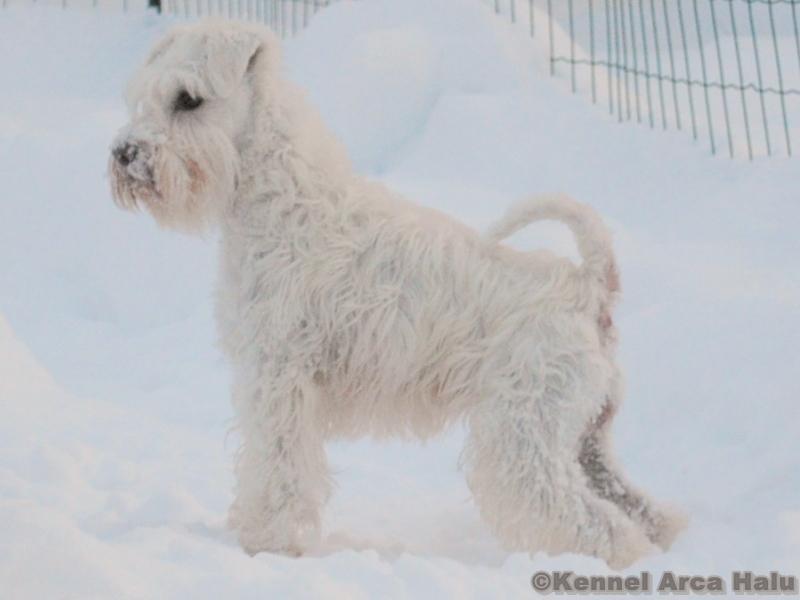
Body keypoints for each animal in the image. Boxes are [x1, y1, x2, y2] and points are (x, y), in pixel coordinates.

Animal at [109, 19, 685, 569]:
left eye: (188, 99)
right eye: (144, 95)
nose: (124, 153)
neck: (276, 199)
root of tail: (589, 285)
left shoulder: (277, 378)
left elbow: (278, 469)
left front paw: (267, 544)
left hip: (524, 438)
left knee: (601, 525)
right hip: (584, 439)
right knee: (643, 511)